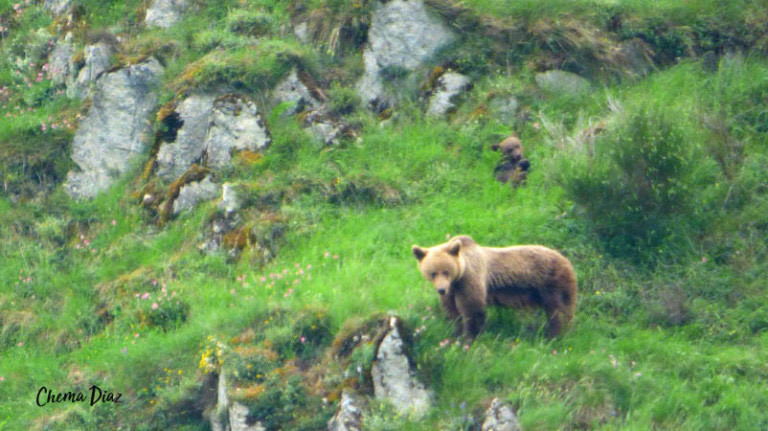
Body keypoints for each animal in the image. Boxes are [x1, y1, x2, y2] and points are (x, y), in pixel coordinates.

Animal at [414, 236, 576, 340]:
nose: (441, 289)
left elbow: (473, 308)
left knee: (559, 311)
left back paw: (555, 334)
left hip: (553, 282)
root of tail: (567, 261)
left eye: (446, 271)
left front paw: (470, 337)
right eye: (433, 273)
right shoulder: (453, 290)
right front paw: (456, 332)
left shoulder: (470, 278)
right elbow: (452, 311)